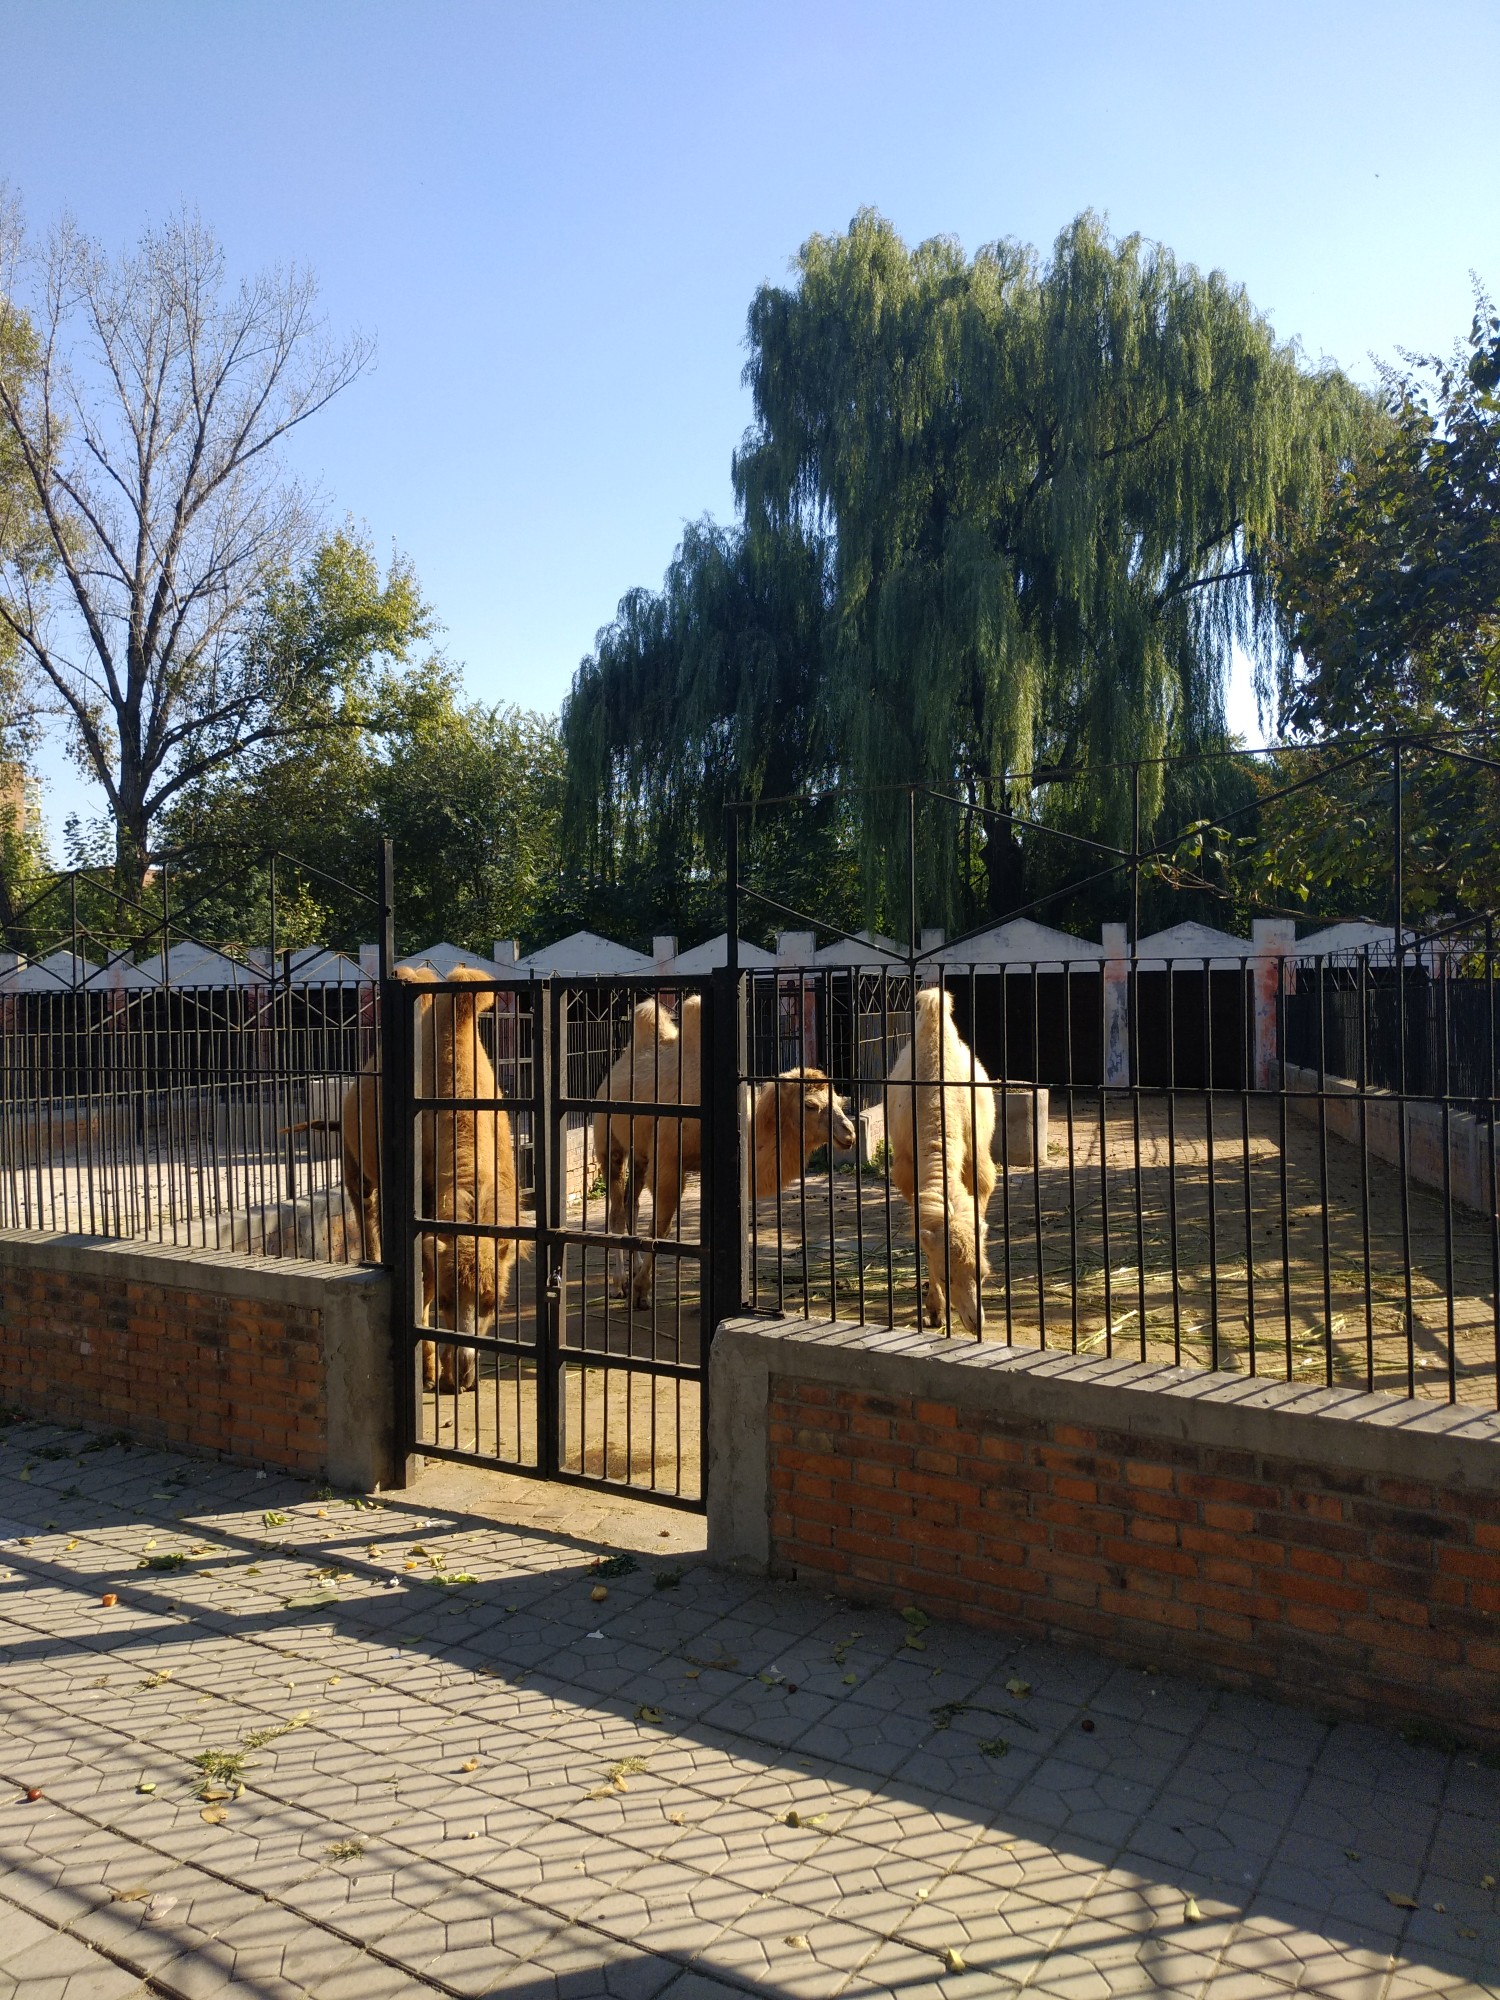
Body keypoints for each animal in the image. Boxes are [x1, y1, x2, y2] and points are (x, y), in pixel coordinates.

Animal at [596, 992, 856, 1304]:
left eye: (839, 1101)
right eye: (810, 1105)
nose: (849, 1134)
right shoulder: (668, 1161)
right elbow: (661, 1225)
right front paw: (640, 1290)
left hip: (640, 1151)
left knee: (630, 1204)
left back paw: (630, 1271)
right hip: (607, 1138)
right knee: (616, 1208)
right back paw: (620, 1283)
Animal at [892, 980, 1000, 1328]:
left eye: (984, 1273)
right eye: (945, 1277)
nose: (976, 1320)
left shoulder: (978, 1161)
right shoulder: (906, 1171)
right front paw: (934, 1310)